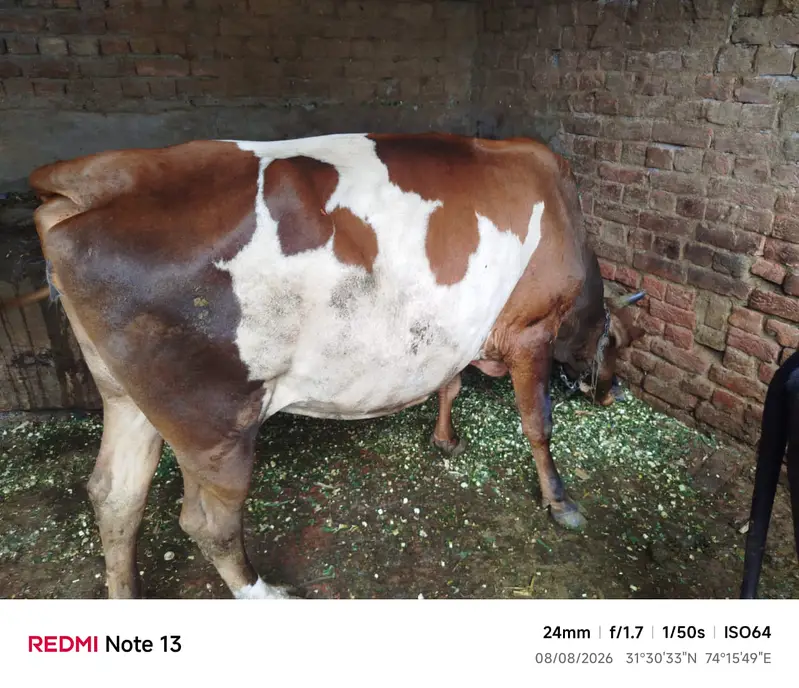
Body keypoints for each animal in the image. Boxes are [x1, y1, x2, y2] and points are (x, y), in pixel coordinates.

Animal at [23, 132, 633, 599]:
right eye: (621, 343)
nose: (615, 393)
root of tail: (91, 179)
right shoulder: (531, 329)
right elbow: (538, 424)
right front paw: (560, 502)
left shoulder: (452, 330)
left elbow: (450, 384)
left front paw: (445, 439)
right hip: (214, 417)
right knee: (206, 521)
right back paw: (264, 592)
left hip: (126, 397)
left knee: (114, 496)